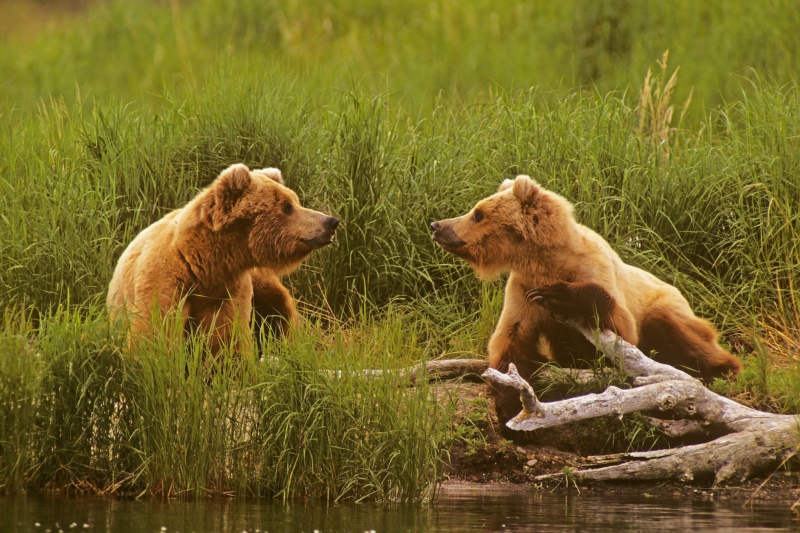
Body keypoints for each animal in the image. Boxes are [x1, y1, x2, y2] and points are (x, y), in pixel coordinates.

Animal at [106, 164, 338, 352]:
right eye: (286, 207)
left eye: (296, 201)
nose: (331, 221)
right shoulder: (165, 282)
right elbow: (155, 332)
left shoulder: (226, 292)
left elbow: (226, 340)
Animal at [434, 175, 740, 424]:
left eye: (478, 214)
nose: (437, 225)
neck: (544, 262)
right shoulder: (521, 289)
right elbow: (512, 338)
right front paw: (508, 401)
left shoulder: (593, 268)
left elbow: (621, 330)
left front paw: (557, 295)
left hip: (668, 303)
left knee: (674, 327)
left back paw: (722, 369)